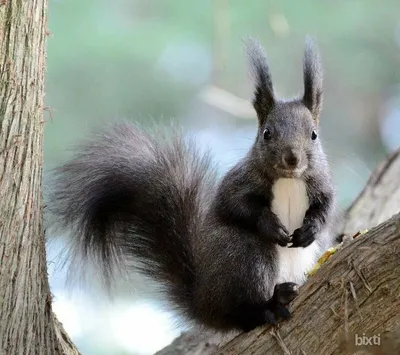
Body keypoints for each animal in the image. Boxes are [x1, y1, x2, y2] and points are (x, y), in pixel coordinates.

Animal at [50, 37, 338, 336]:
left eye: (314, 134)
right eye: (266, 133)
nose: (292, 158)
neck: (289, 179)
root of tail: (204, 302)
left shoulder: (322, 183)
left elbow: (327, 206)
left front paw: (311, 228)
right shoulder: (238, 182)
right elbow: (236, 205)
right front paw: (270, 224)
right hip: (246, 257)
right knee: (243, 311)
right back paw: (269, 305)